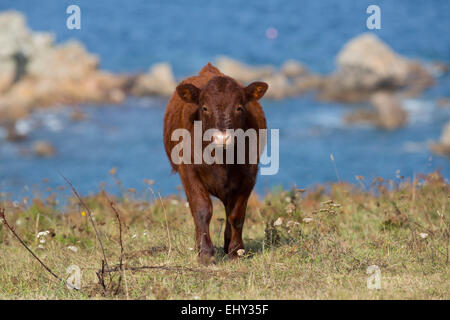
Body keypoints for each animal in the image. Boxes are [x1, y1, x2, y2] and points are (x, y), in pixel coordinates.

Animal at [163, 62, 268, 262]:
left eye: (239, 107)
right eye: (204, 108)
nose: (222, 138)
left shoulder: (249, 175)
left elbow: (237, 214)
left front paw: (236, 251)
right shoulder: (188, 171)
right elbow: (201, 210)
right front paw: (205, 253)